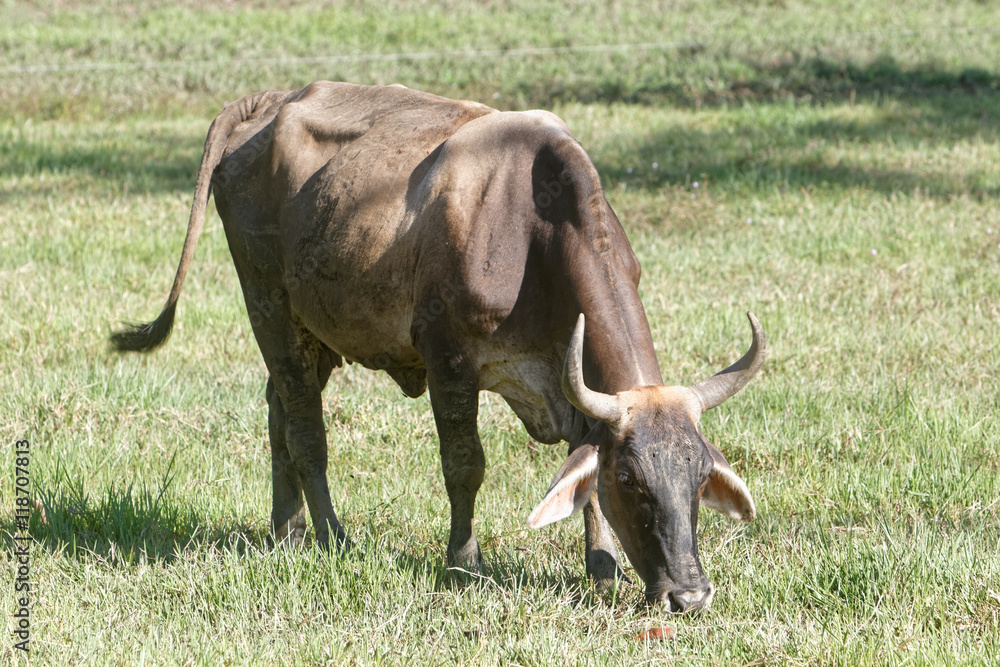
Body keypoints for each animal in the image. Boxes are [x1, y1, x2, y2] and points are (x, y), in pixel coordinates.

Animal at [112, 82, 765, 613]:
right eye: (631, 479)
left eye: (701, 475)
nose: (690, 595)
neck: (531, 226)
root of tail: (269, 101)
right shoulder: (449, 360)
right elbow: (465, 465)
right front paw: (464, 561)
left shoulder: (574, 383)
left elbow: (582, 483)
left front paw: (603, 571)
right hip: (268, 307)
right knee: (304, 428)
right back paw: (330, 535)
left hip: (312, 332)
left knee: (279, 412)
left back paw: (286, 529)